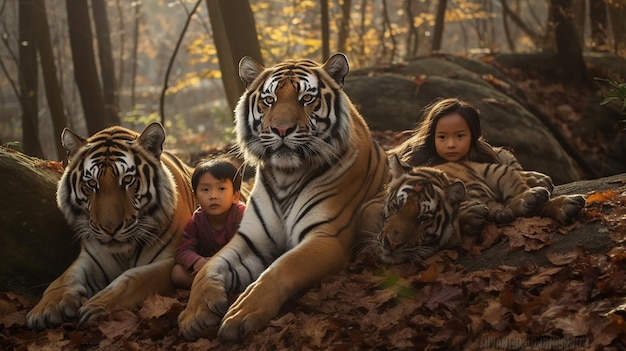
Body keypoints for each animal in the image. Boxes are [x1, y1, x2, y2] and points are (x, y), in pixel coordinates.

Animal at [25, 123, 194, 330]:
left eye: (128, 180)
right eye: (91, 183)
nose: (110, 228)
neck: (124, 253)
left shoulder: (171, 260)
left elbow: (132, 279)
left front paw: (96, 305)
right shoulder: (89, 258)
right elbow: (63, 279)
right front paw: (44, 309)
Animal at [176, 53, 388, 342]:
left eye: (307, 98)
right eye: (269, 100)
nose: (282, 129)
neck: (286, 176)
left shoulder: (326, 237)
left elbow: (282, 267)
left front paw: (242, 312)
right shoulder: (251, 239)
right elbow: (207, 268)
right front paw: (195, 313)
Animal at [368, 155, 584, 266]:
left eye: (423, 219)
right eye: (396, 207)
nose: (391, 244)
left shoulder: (495, 172)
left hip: (495, 170)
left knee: (517, 183)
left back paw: (537, 189)